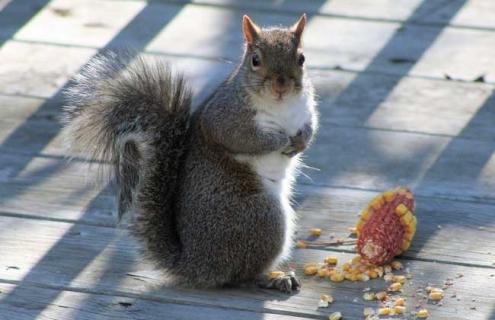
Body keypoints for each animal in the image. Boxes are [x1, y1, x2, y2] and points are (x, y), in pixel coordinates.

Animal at [61, 15, 318, 296]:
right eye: (255, 60)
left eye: (302, 58)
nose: (281, 85)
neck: (282, 107)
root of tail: (195, 263)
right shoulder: (226, 118)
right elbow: (245, 139)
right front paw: (281, 140)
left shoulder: (306, 108)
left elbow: (311, 125)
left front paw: (303, 140)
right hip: (261, 217)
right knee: (240, 276)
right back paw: (272, 278)